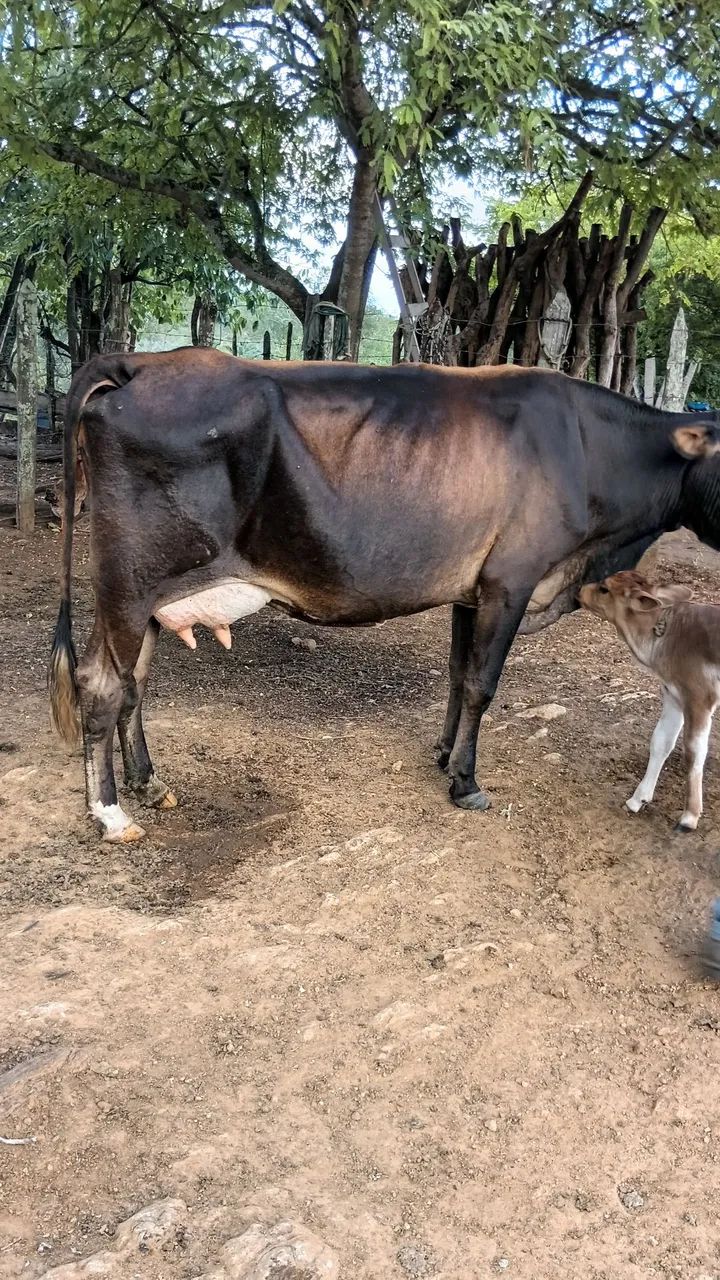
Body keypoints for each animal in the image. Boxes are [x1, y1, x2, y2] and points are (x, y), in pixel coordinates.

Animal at [580, 570, 720, 831]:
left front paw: (689, 817)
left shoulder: (699, 697)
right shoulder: (673, 695)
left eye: (604, 588)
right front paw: (637, 800)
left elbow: (693, 752)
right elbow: (661, 741)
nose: (580, 590)